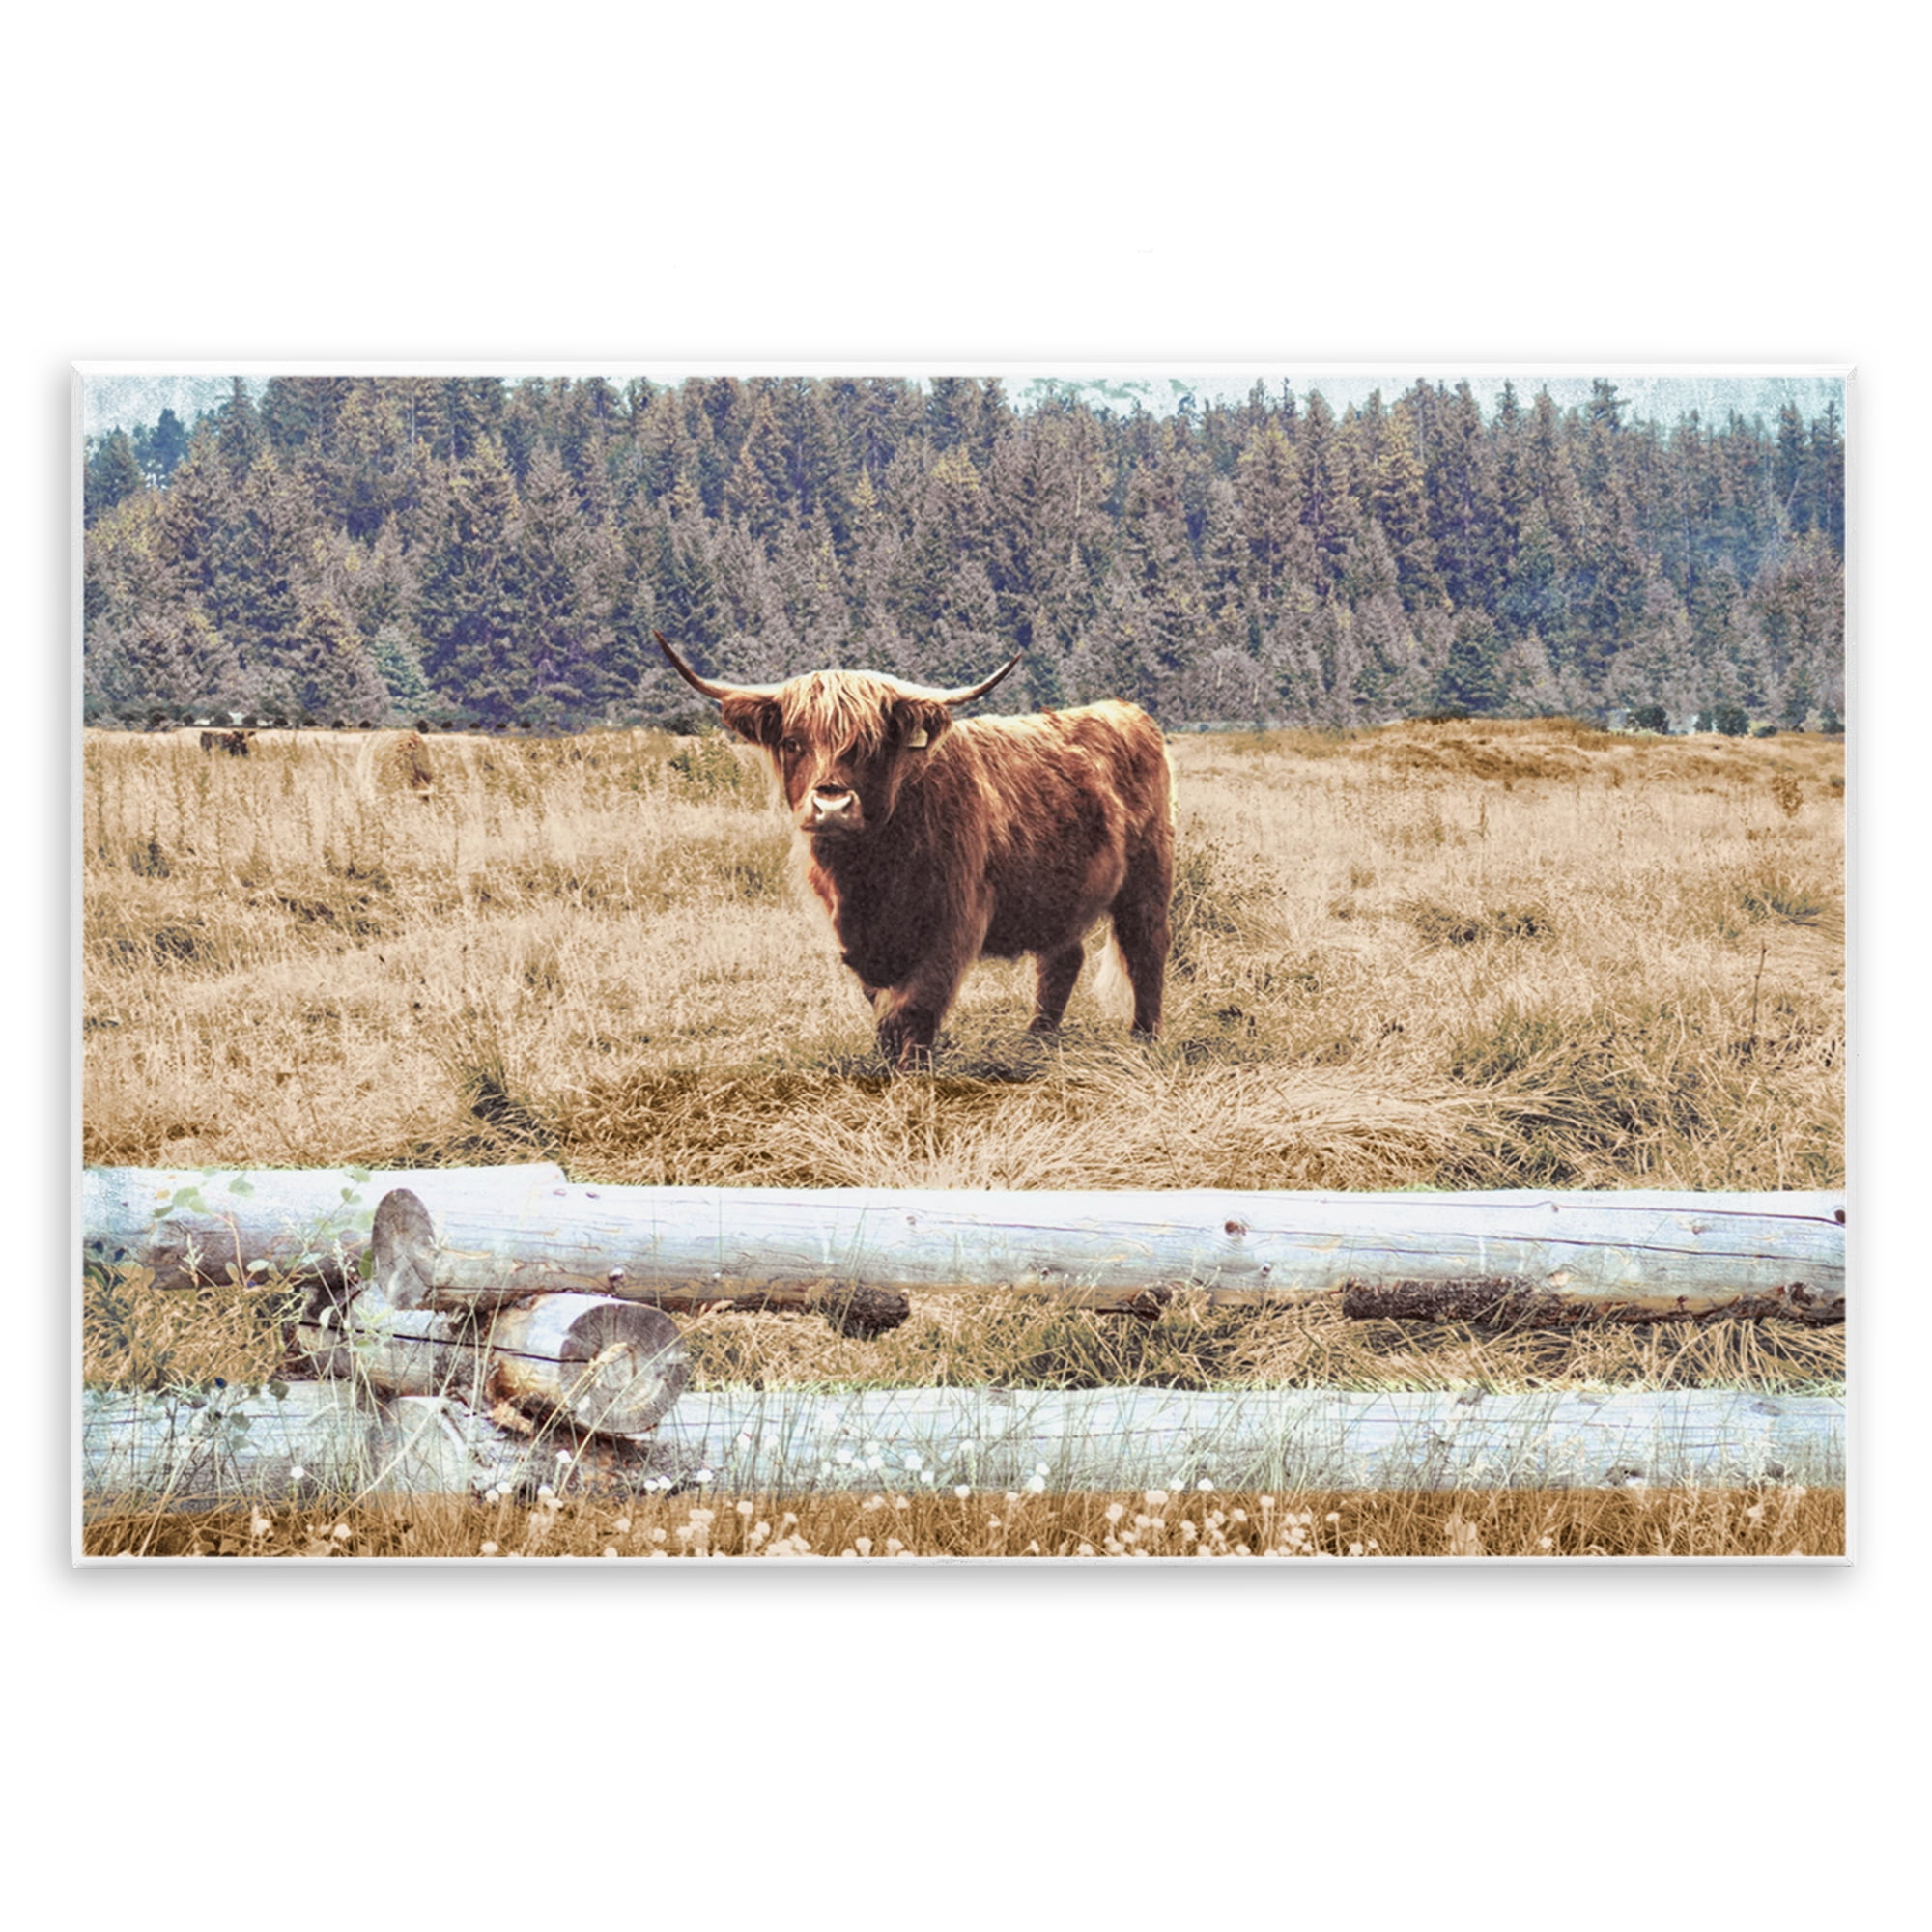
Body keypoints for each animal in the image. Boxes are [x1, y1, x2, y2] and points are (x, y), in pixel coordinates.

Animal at [656, 631, 1174, 1071]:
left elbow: (917, 1004)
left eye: (870, 744)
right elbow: (882, 1006)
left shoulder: (953, 921)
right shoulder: (856, 936)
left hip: (1148, 876)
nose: (832, 806)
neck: (868, 875)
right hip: (1059, 892)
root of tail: (1126, 711)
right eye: (792, 741)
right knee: (1062, 959)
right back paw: (1037, 1041)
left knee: (1145, 948)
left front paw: (912, 1073)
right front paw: (886, 1064)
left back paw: (1143, 1040)